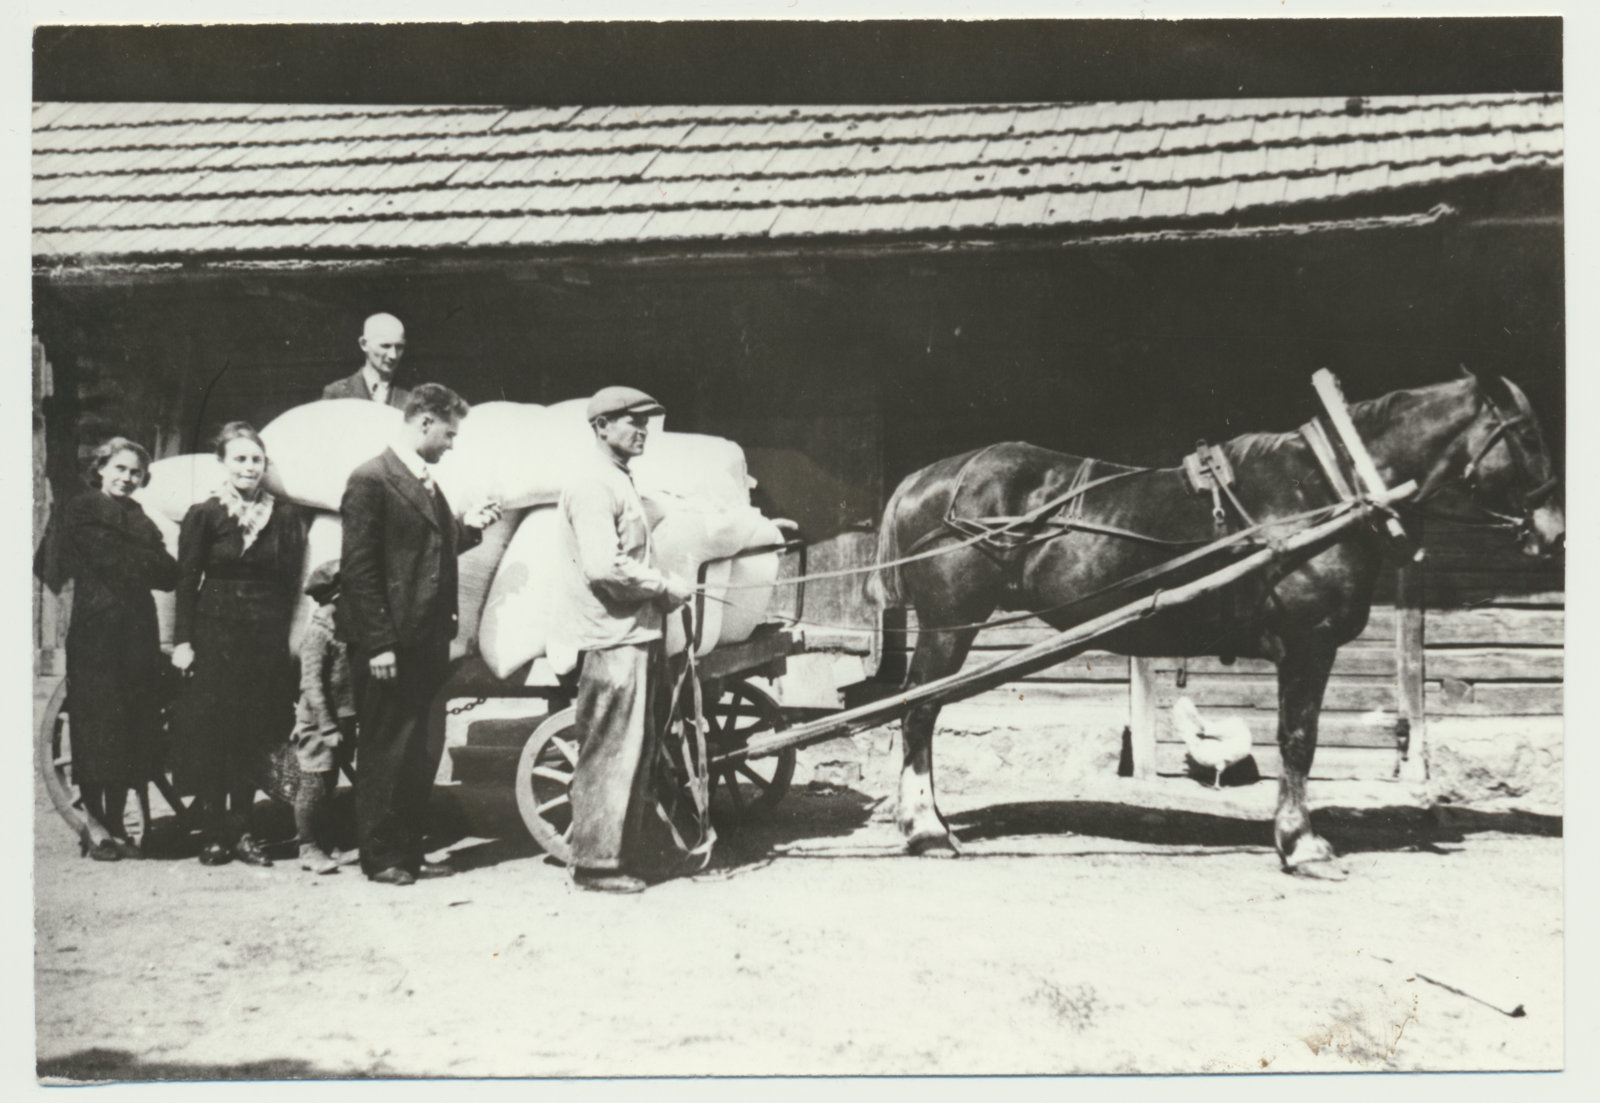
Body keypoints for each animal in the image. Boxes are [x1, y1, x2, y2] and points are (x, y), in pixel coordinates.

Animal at [876, 374, 1561, 870]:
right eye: (1529, 436)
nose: (1553, 531)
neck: (1323, 491)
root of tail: (923, 478)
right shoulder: (1308, 644)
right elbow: (1298, 740)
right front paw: (1301, 843)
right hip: (948, 627)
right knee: (918, 712)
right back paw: (926, 829)